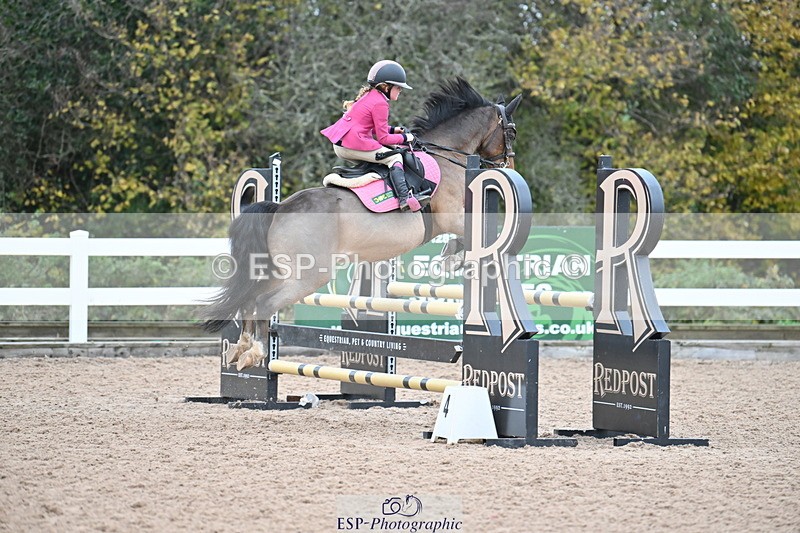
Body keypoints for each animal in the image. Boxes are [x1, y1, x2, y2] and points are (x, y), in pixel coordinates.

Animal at [202, 77, 521, 370]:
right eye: (512, 132)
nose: (509, 168)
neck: (446, 156)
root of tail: (280, 208)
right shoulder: (452, 216)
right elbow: (470, 237)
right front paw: (452, 259)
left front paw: (451, 258)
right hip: (308, 275)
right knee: (264, 303)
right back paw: (255, 352)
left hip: (277, 270)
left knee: (249, 299)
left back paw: (240, 350)